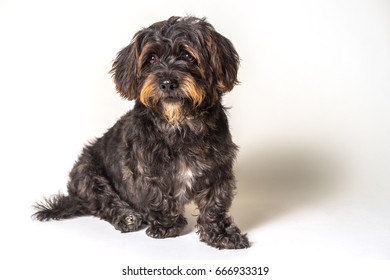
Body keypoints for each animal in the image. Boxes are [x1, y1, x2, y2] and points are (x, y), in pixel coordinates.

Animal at [32, 15, 248, 249]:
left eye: (187, 55)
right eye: (151, 58)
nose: (167, 83)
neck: (178, 124)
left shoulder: (218, 170)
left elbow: (214, 204)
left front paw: (221, 233)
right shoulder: (144, 167)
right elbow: (157, 195)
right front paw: (167, 225)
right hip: (86, 173)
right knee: (103, 200)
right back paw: (127, 216)